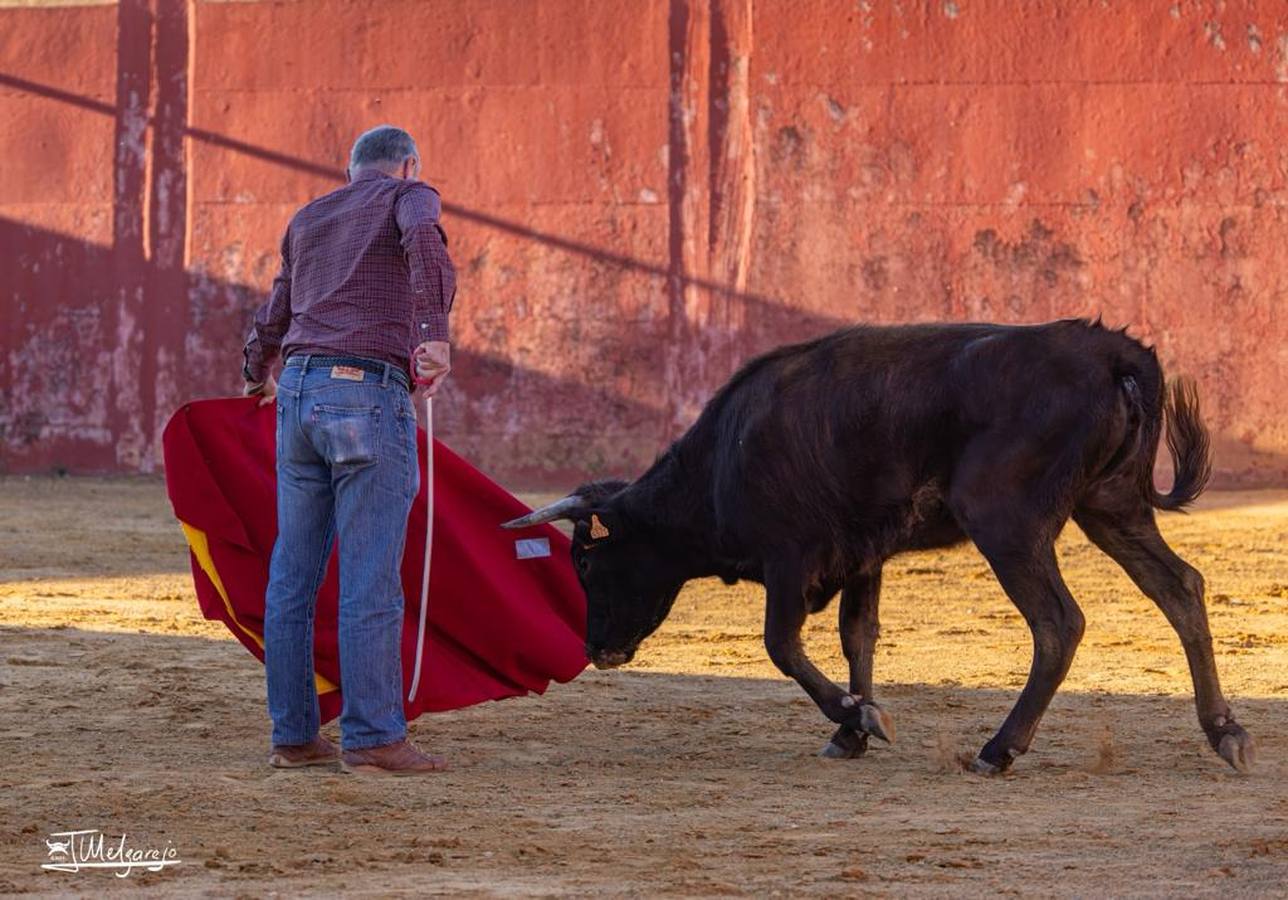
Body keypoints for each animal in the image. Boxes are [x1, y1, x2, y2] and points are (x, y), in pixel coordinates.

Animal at [504, 321, 1257, 772]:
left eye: (587, 563)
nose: (596, 649)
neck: (724, 459)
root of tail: (1112, 355)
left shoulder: (792, 557)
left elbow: (782, 645)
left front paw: (855, 714)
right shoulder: (862, 554)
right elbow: (857, 635)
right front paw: (852, 731)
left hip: (1007, 522)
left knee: (1058, 622)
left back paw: (998, 749)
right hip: (1112, 506)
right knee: (1179, 588)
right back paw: (1225, 731)